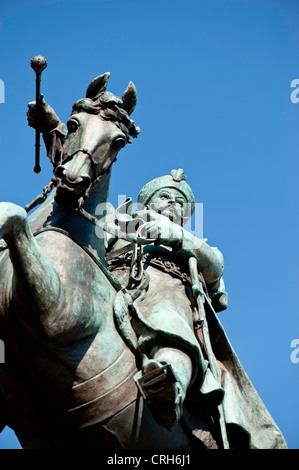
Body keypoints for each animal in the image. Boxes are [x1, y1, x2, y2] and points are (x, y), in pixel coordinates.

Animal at [0, 72, 223, 448]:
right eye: (73, 124)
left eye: (118, 141)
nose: (72, 180)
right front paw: (43, 117)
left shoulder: (57, 314)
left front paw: (166, 231)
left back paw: (163, 389)